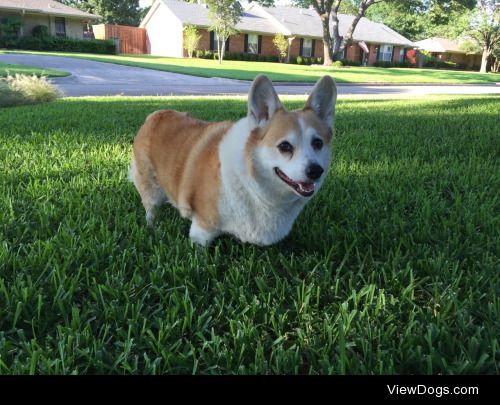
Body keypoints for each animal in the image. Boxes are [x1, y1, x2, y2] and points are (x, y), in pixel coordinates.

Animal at [130, 75, 336, 246]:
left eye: (317, 143)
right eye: (284, 146)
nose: (315, 171)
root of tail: (154, 115)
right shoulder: (202, 229)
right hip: (150, 186)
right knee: (150, 207)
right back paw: (153, 226)